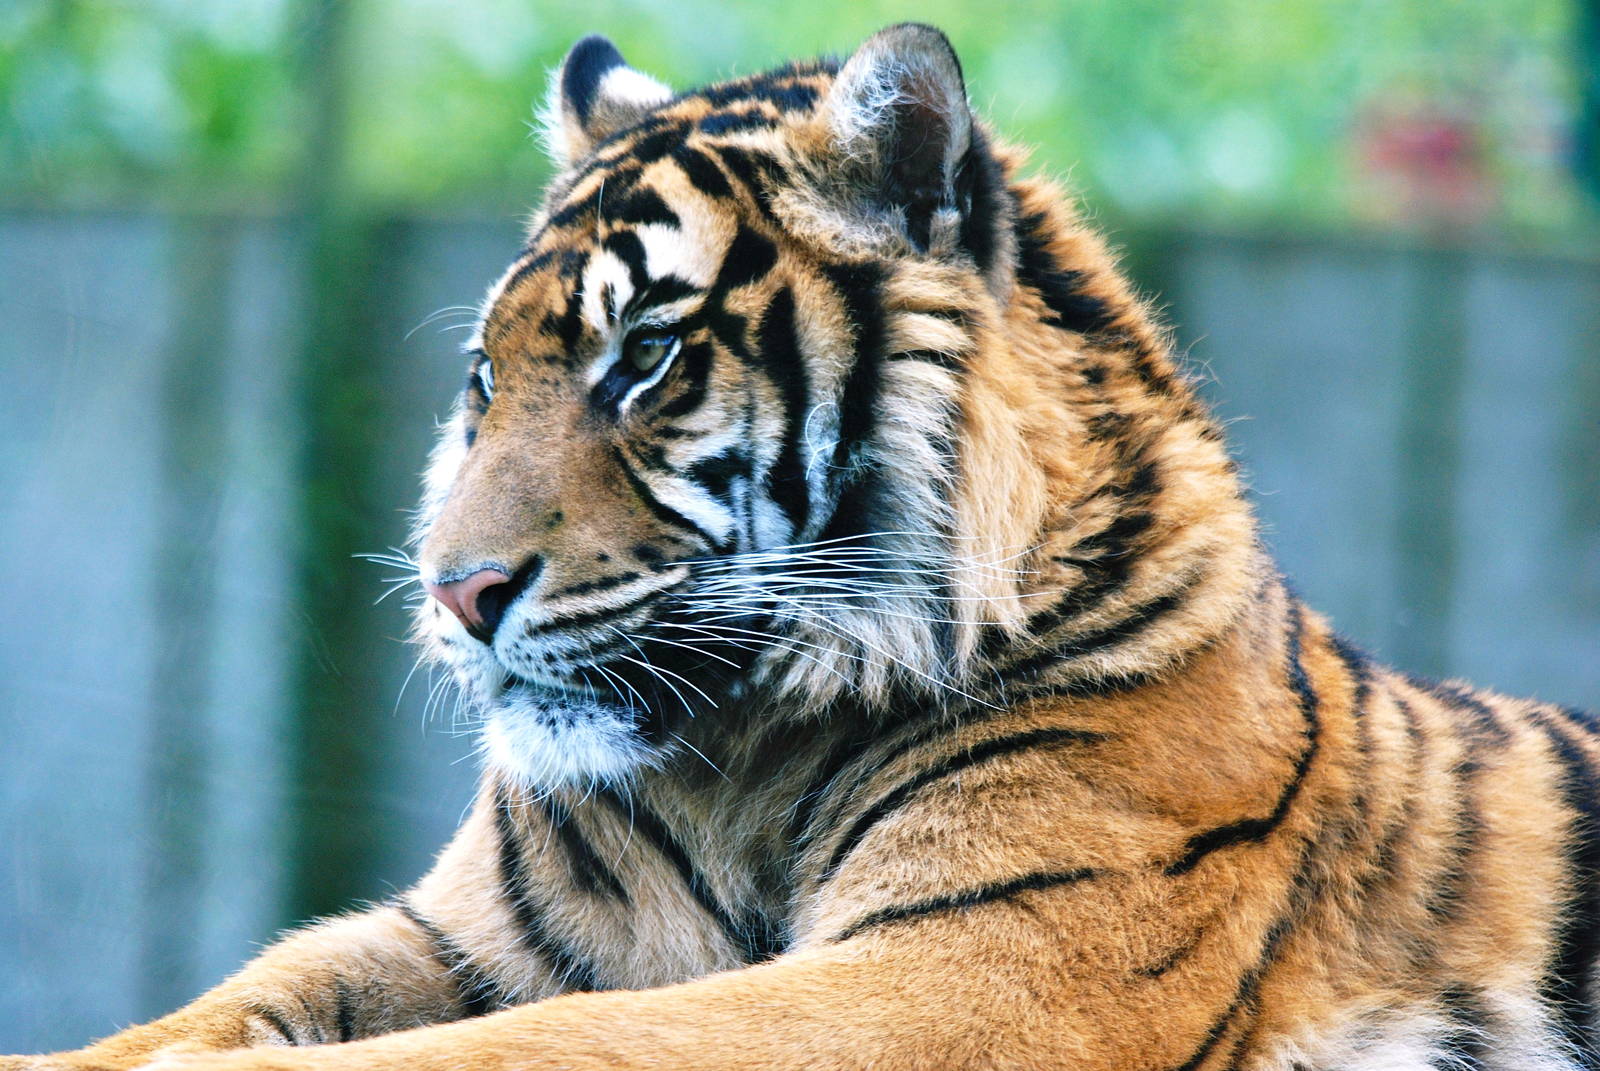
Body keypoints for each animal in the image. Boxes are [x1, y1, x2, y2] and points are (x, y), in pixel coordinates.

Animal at [6, 22, 1597, 1071]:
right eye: (483, 379)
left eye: (645, 356)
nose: (456, 597)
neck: (739, 757)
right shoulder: (447, 933)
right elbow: (219, 1001)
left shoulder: (981, 966)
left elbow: (548, 1046)